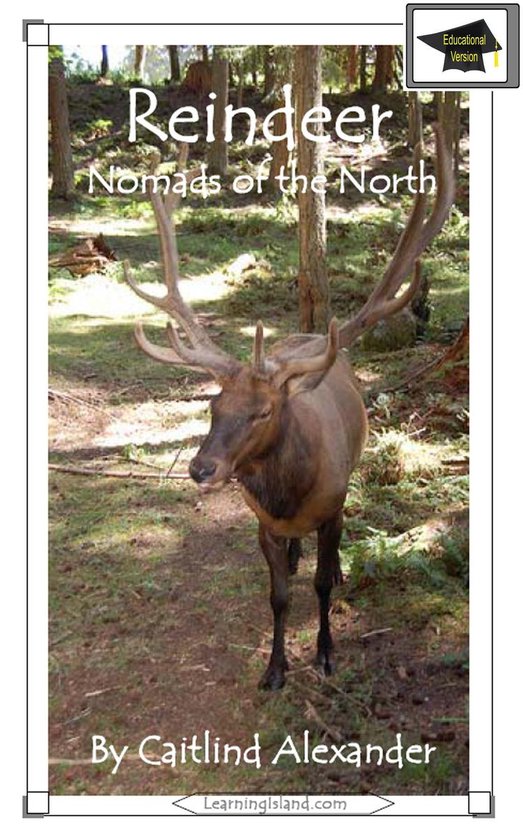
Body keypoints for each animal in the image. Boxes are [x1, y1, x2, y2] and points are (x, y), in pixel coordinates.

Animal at [124, 125, 453, 690]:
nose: (201, 468)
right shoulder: (262, 524)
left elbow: (321, 587)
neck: (291, 495)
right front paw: (275, 668)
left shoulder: (333, 506)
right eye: (213, 404)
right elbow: (277, 596)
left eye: (262, 411)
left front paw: (324, 654)